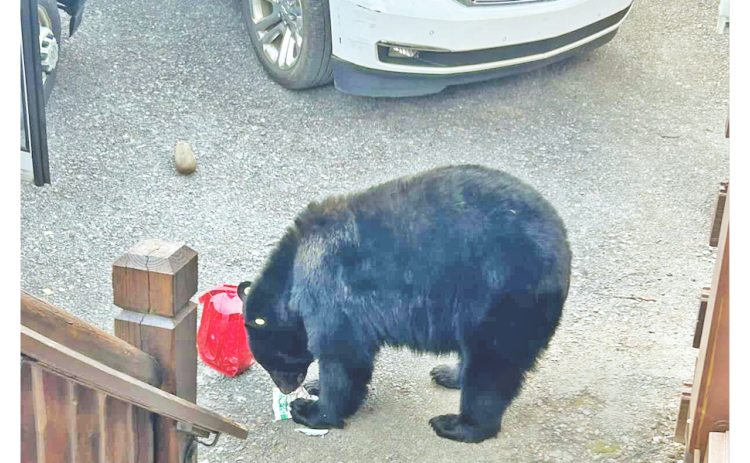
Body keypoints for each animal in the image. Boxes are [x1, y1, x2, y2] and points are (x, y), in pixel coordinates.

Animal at [238, 164, 571, 443]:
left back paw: (458, 424)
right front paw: (315, 386)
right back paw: (449, 374)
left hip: (504, 298)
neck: (293, 268)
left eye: (274, 362)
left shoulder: (330, 286)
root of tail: (563, 249)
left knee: (492, 367)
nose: (285, 388)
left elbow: (342, 353)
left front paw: (313, 410)